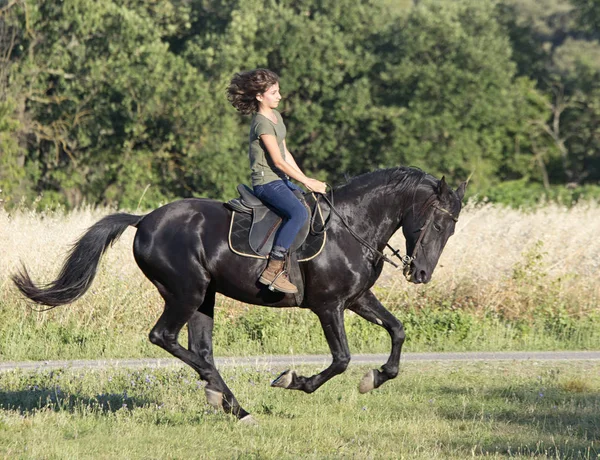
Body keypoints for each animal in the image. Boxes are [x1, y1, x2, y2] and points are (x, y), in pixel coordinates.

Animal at [11, 167, 466, 422]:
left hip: (204, 297)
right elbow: (341, 359)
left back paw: (230, 403)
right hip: (187, 291)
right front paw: (293, 380)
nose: (421, 274)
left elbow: (398, 331)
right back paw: (224, 397)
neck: (351, 226)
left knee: (199, 349)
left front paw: (375, 378)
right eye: (437, 223)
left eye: (452, 229)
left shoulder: (356, 299)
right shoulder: (329, 306)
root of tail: (144, 220)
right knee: (165, 338)